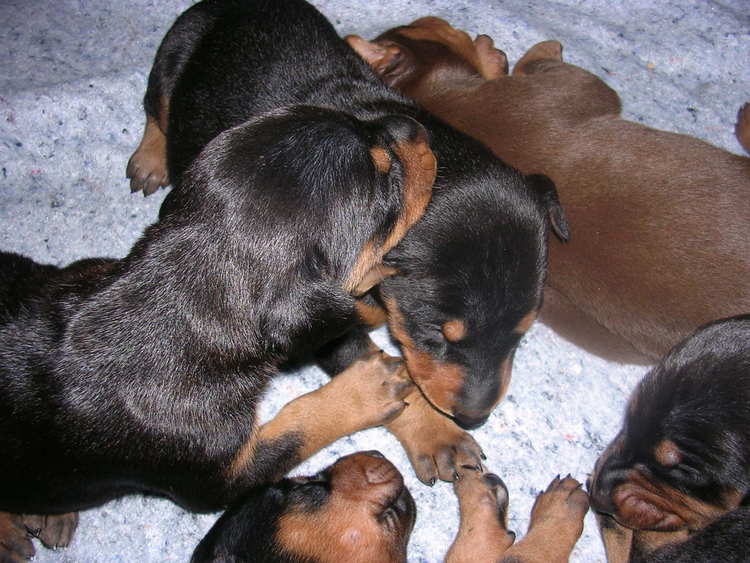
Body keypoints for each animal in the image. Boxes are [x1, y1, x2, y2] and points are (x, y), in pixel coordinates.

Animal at [126, 0, 568, 486]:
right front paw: (439, 435)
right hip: (176, 49)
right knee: (157, 105)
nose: (475, 417)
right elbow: (378, 372)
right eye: (434, 334)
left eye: (522, 335)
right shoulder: (321, 323)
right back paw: (151, 157)